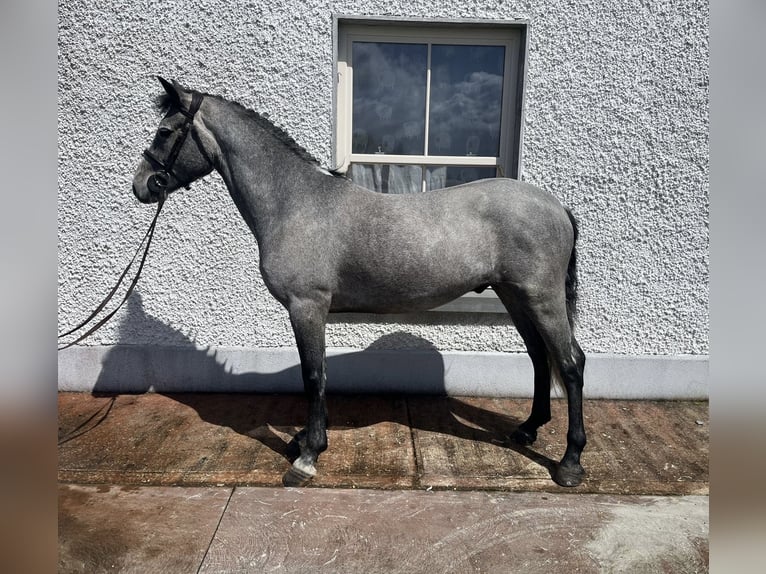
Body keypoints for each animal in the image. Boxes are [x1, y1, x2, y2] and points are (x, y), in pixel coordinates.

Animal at [132, 77, 587, 488]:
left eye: (165, 131)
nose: (141, 186)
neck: (294, 202)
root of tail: (557, 206)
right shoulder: (310, 310)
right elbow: (316, 373)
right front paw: (305, 440)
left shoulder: (306, 306)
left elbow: (313, 376)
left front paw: (308, 457)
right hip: (515, 296)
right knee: (540, 357)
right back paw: (528, 429)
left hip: (541, 297)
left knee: (570, 363)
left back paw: (570, 462)